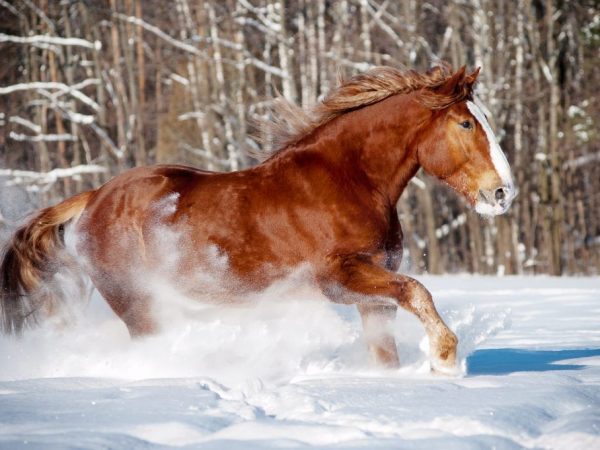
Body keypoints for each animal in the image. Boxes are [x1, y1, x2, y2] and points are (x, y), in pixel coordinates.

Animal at [0, 64, 516, 372]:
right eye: (465, 123)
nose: (502, 192)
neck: (349, 180)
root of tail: (93, 199)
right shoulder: (338, 277)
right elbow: (418, 291)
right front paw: (445, 359)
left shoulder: (375, 289)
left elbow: (387, 343)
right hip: (137, 303)